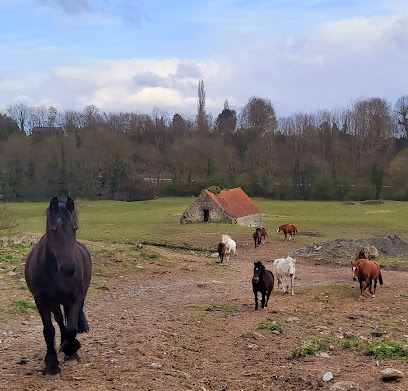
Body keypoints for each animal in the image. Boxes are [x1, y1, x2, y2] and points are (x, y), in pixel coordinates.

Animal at [24, 198, 91, 382]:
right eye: (53, 229)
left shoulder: (77, 296)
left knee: (68, 321)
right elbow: (49, 331)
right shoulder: (41, 300)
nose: (69, 268)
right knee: (60, 321)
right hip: (54, 302)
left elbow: (72, 328)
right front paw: (52, 366)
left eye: (74, 228)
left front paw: (71, 351)